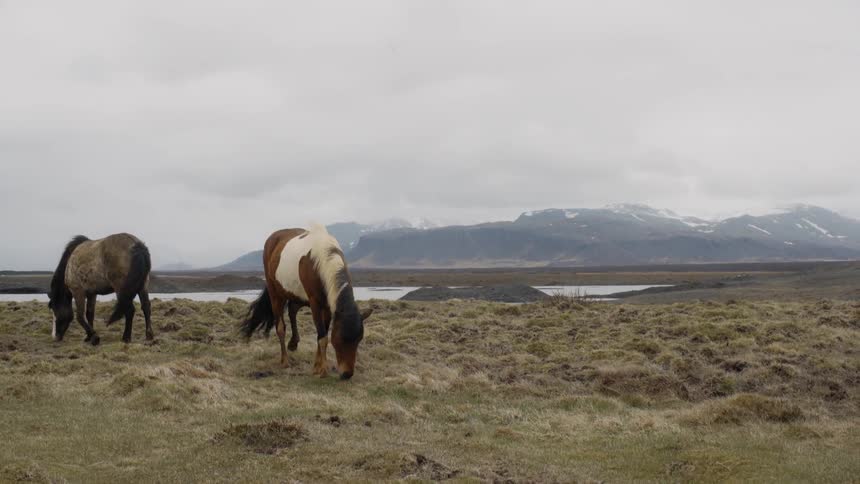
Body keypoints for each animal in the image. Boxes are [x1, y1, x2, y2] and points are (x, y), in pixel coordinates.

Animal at [240, 225, 372, 380]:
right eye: (340, 339)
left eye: (359, 340)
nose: (347, 374)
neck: (322, 260)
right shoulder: (315, 304)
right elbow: (322, 337)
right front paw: (323, 370)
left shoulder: (327, 306)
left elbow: (322, 334)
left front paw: (317, 366)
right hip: (276, 294)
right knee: (280, 327)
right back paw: (285, 360)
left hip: (297, 295)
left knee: (292, 311)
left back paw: (293, 342)